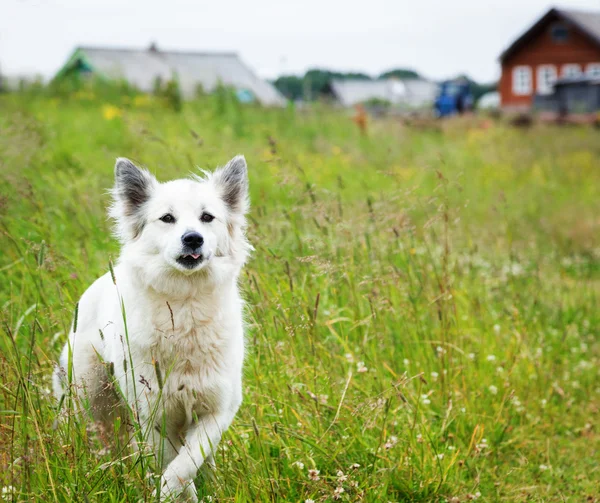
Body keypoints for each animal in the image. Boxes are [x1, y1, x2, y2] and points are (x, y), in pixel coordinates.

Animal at [54, 157, 251, 500]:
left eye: (207, 217)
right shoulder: (153, 416)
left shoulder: (217, 411)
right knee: (111, 444)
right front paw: (172, 495)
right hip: (95, 401)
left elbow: (187, 464)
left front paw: (178, 492)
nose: (193, 238)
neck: (184, 305)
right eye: (167, 218)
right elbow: (174, 467)